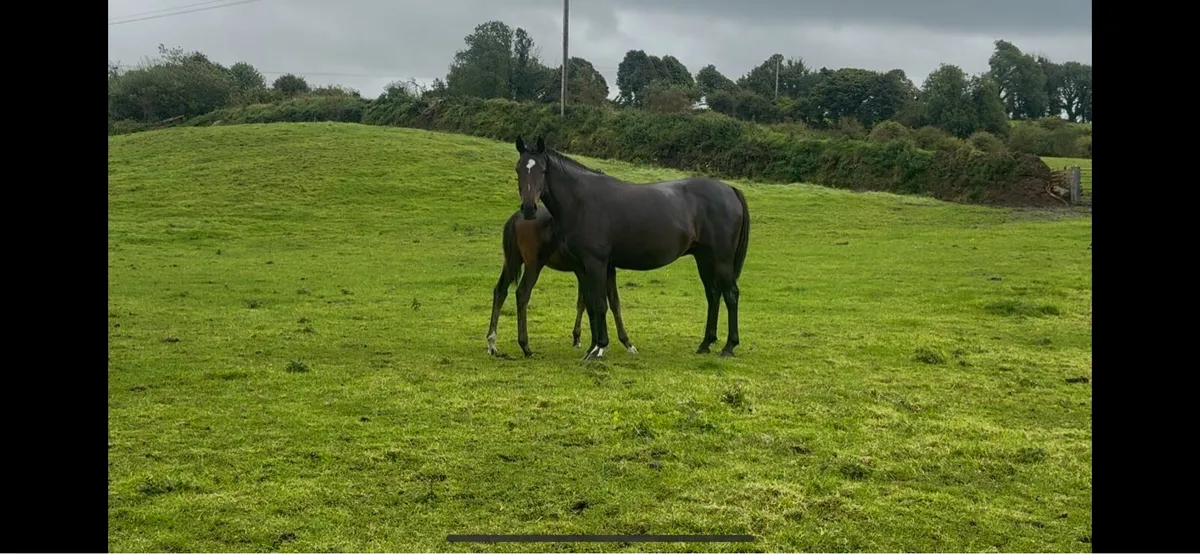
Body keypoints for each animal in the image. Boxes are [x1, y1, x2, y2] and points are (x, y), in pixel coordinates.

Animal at [486, 202, 638, 359]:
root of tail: (516, 217)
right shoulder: (601, 269)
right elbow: (611, 304)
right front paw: (625, 343)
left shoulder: (588, 271)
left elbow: (586, 302)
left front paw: (579, 338)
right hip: (533, 265)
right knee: (522, 293)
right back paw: (525, 347)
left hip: (512, 262)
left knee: (500, 291)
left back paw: (492, 343)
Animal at [513, 136, 750, 361]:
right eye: (519, 169)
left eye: (542, 170)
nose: (529, 209)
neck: (581, 202)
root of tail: (730, 190)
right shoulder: (587, 267)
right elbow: (593, 305)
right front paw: (593, 346)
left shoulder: (596, 263)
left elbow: (599, 304)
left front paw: (598, 348)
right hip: (704, 259)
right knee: (713, 295)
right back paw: (705, 344)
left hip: (722, 260)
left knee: (731, 295)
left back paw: (729, 346)